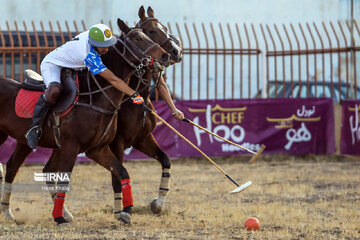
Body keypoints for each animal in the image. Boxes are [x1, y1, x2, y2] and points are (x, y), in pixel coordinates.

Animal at [0, 18, 170, 225]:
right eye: (140, 36)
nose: (166, 54)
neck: (96, 97)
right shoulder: (73, 146)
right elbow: (65, 181)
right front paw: (59, 219)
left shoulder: (98, 149)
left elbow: (122, 172)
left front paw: (126, 212)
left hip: (23, 141)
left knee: (13, 167)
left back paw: (8, 212)